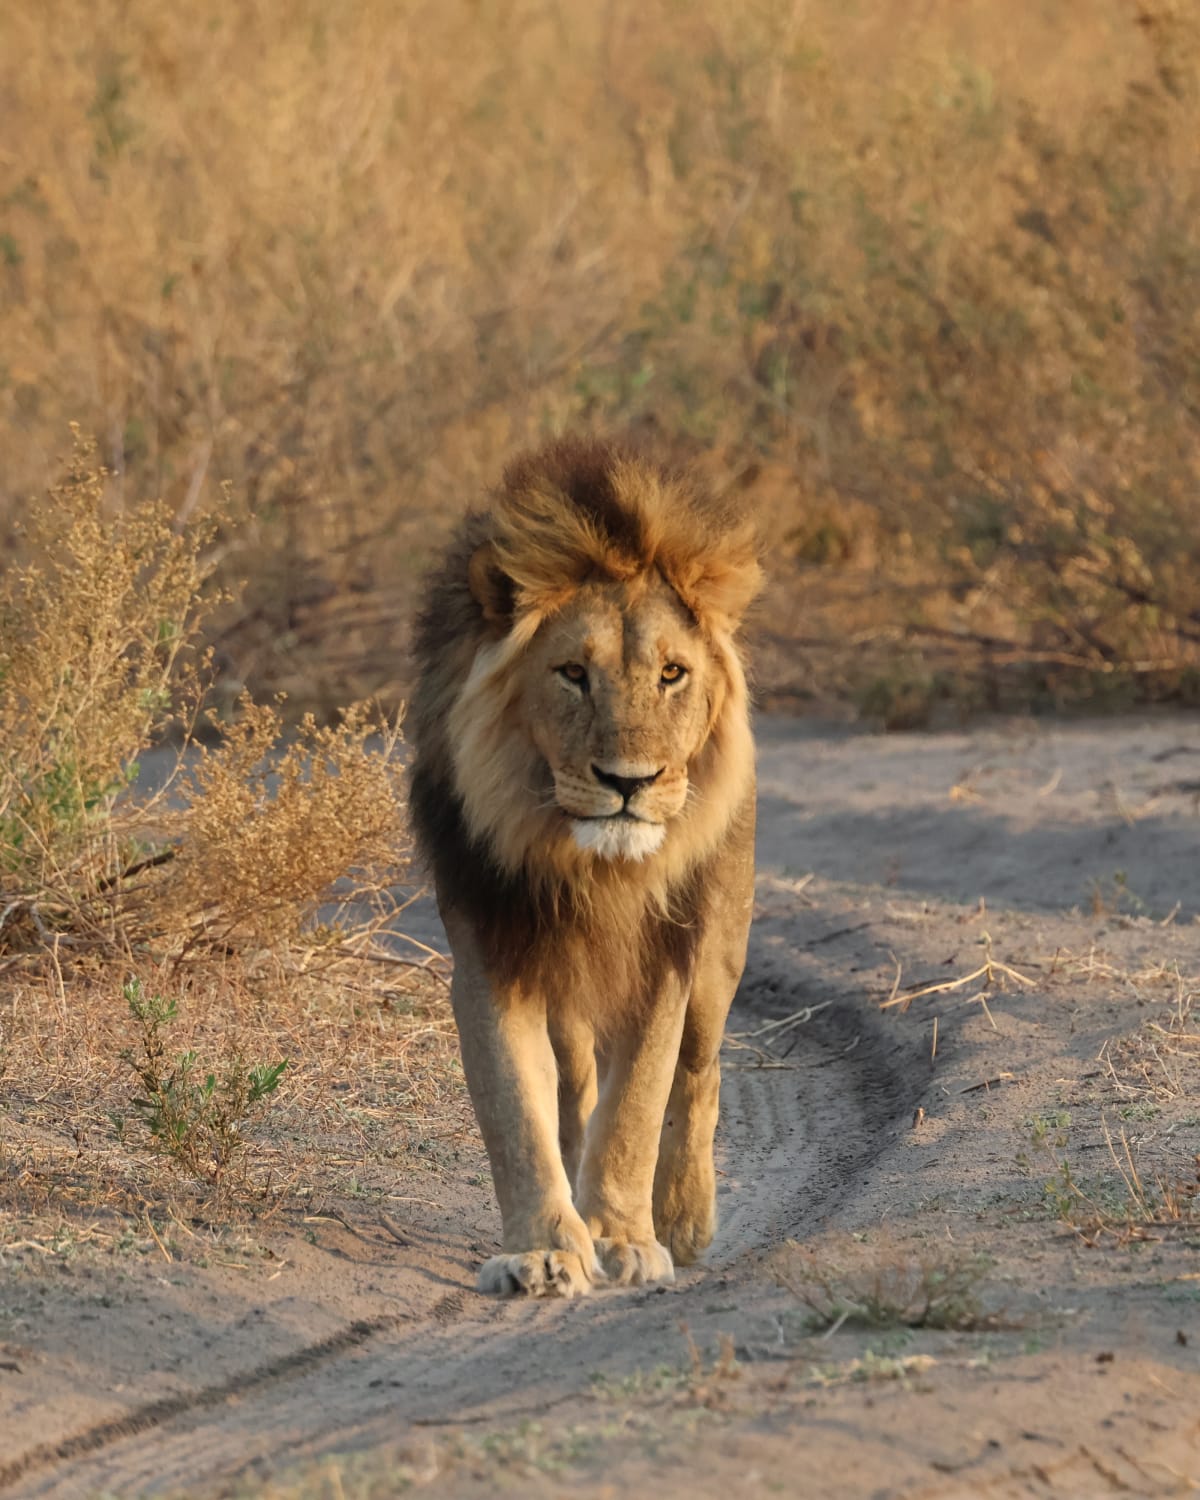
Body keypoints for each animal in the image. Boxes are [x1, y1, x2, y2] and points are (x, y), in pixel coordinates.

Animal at [409, 437, 760, 1298]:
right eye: (572, 673)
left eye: (672, 673)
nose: (629, 782)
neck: (589, 868)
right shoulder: (491, 957)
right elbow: (515, 1112)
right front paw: (544, 1249)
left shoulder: (667, 960)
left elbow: (637, 1106)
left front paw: (626, 1238)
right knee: (574, 1088)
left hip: (721, 953)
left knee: (699, 1073)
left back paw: (684, 1216)